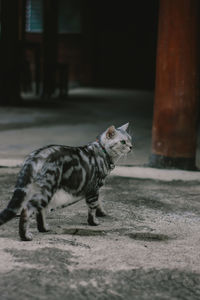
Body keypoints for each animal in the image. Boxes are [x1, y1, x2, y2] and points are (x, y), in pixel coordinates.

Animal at [0, 123, 133, 240]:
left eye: (130, 139)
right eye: (123, 142)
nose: (131, 147)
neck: (103, 151)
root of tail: (36, 155)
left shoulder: (95, 189)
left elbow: (99, 203)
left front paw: (101, 212)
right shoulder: (94, 188)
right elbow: (93, 206)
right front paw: (94, 222)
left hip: (44, 190)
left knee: (40, 211)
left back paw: (43, 228)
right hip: (47, 189)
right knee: (26, 210)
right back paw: (25, 236)